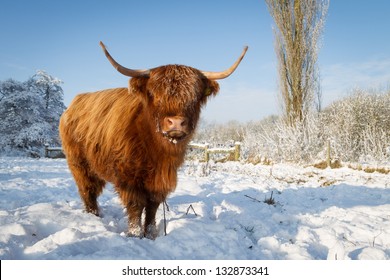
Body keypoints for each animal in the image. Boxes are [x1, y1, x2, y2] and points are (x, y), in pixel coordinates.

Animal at [58, 41, 247, 238]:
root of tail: (75, 103)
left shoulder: (160, 179)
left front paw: (150, 233)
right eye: (155, 95)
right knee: (87, 190)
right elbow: (135, 206)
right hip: (80, 164)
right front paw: (134, 234)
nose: (176, 123)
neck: (156, 150)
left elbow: (152, 206)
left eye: (194, 97)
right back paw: (93, 215)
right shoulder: (128, 177)